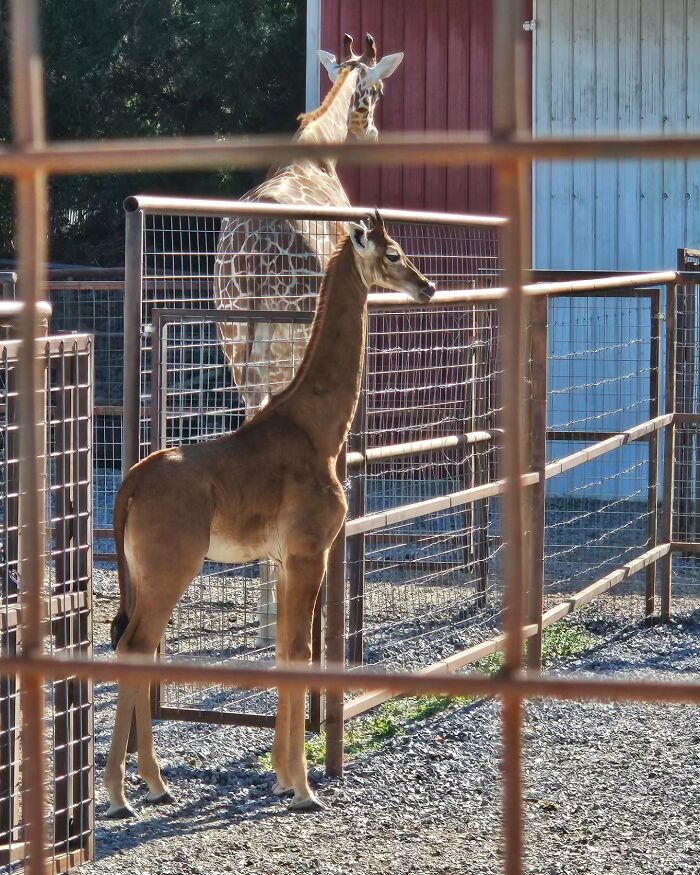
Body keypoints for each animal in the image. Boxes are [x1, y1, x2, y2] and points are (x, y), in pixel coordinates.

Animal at [105, 215, 435, 818]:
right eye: (394, 253)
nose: (427, 287)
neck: (318, 429)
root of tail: (130, 486)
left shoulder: (283, 561)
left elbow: (282, 652)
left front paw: (281, 778)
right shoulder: (310, 553)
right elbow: (301, 652)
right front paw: (304, 788)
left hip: (140, 573)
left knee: (132, 647)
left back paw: (153, 785)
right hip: (172, 568)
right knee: (137, 647)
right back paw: (124, 794)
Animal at [213, 33, 404, 646]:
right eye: (379, 90)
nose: (375, 134)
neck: (317, 152)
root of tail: (253, 248)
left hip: (234, 330)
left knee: (249, 415)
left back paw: (262, 610)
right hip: (284, 330)